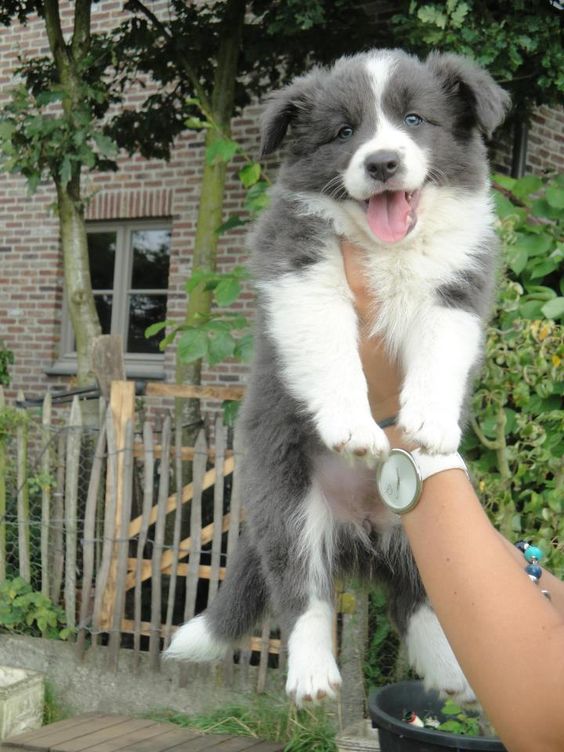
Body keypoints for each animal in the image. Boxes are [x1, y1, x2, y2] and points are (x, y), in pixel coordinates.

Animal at [164, 47, 512, 704]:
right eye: (344, 132)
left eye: (415, 120)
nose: (382, 162)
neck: (386, 246)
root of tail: (361, 531)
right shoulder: (302, 272)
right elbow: (331, 350)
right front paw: (354, 427)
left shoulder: (456, 286)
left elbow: (440, 351)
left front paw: (430, 423)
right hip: (287, 504)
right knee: (305, 593)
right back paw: (313, 674)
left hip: (412, 534)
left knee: (419, 599)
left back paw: (453, 672)